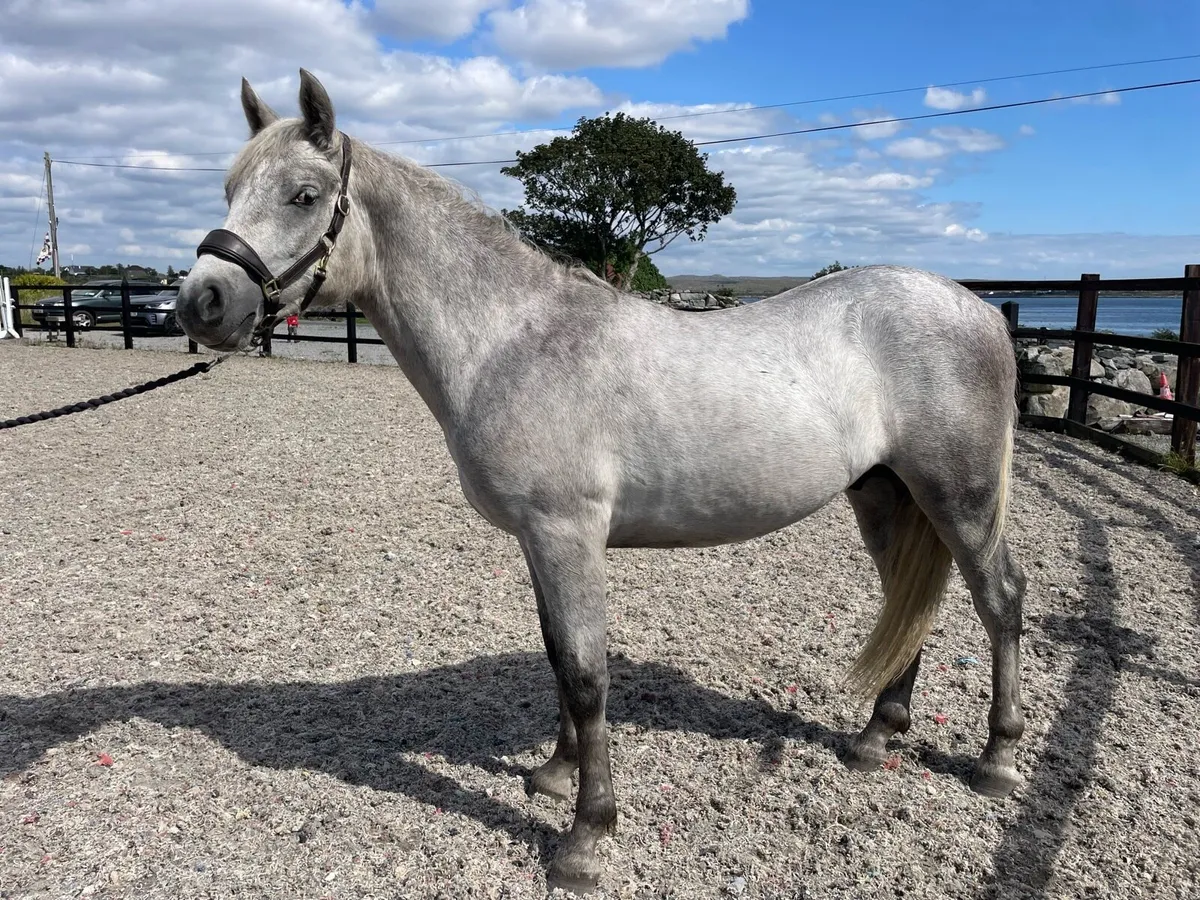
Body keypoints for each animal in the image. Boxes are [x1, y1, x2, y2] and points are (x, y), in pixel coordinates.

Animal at [176, 70, 1027, 892]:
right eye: (229, 188)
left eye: (303, 194)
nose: (201, 303)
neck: (510, 342)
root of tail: (982, 311)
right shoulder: (538, 540)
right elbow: (558, 657)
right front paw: (555, 774)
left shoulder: (567, 534)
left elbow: (587, 675)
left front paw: (586, 838)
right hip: (884, 494)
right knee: (908, 602)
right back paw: (876, 737)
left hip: (959, 498)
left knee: (1000, 600)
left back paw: (997, 760)